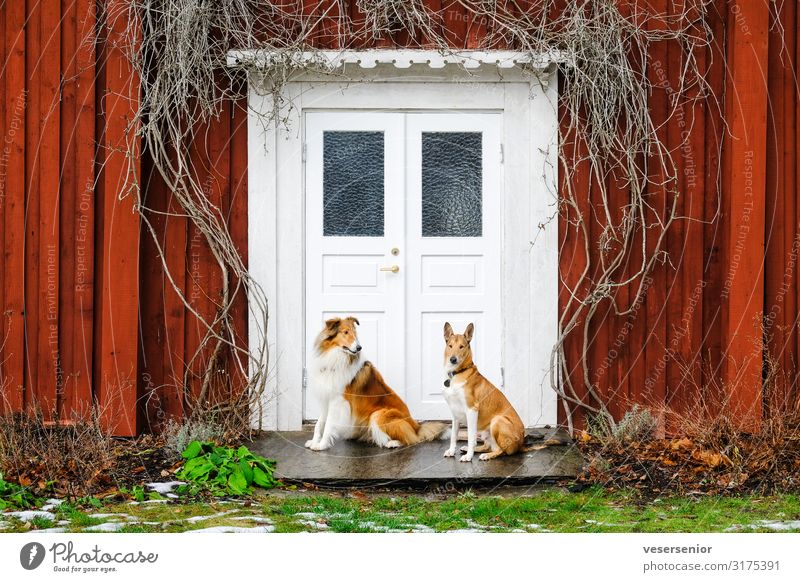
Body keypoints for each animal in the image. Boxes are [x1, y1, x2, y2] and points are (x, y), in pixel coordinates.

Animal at [304, 320, 446, 452]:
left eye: (355, 334)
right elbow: (319, 423)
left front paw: (321, 445)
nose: (359, 347)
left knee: (409, 439)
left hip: (379, 414)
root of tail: (417, 426)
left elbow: (328, 425)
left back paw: (392, 443)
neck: (337, 357)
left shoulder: (337, 401)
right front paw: (314, 441)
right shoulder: (327, 398)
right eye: (345, 332)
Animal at [444, 322, 524, 464]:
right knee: (488, 446)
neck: (457, 373)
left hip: (497, 420)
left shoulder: (472, 410)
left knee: (502, 451)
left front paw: (468, 457)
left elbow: (471, 437)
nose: (453, 359)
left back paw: (486, 456)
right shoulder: (455, 414)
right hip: (485, 432)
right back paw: (470, 449)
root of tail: (522, 445)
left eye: (461, 347)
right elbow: (453, 435)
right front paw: (452, 451)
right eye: (450, 346)